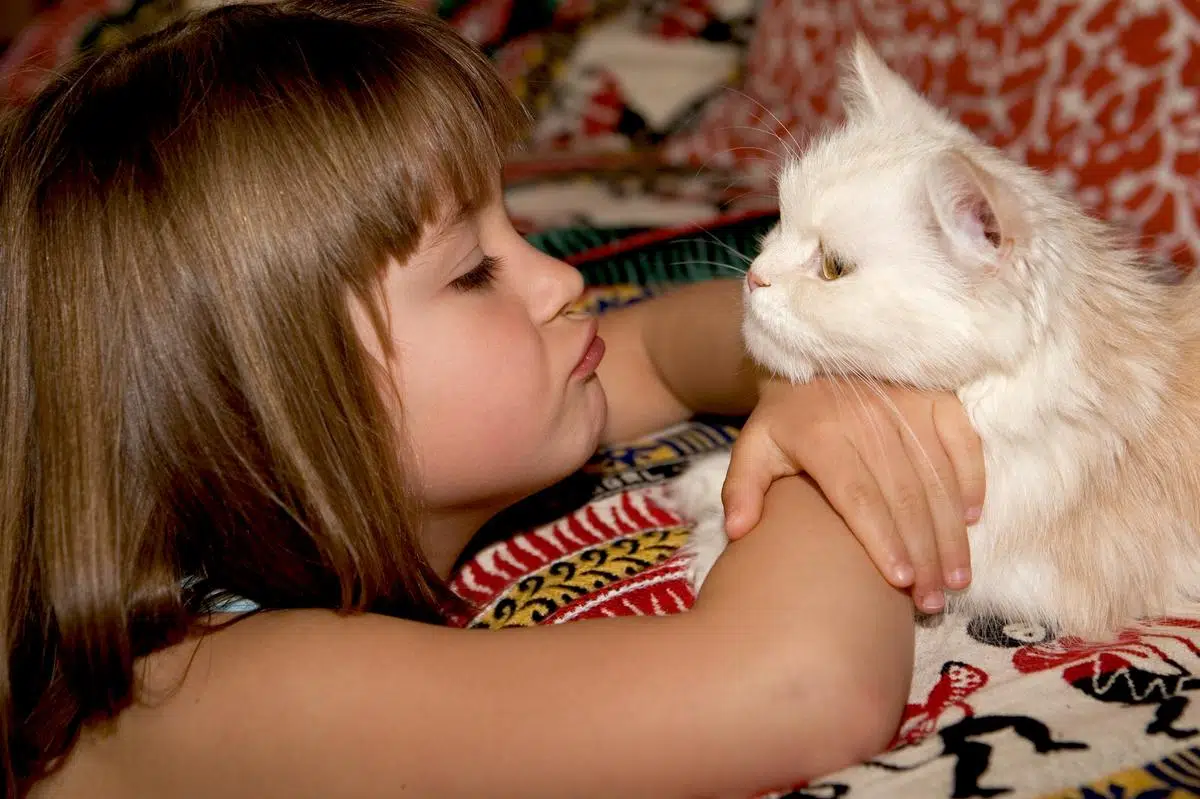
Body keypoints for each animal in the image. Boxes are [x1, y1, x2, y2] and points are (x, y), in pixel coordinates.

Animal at [672, 34, 1200, 638]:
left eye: (832, 268)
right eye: (779, 220)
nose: (754, 277)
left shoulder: (1024, 572)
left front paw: (713, 543)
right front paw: (708, 480)